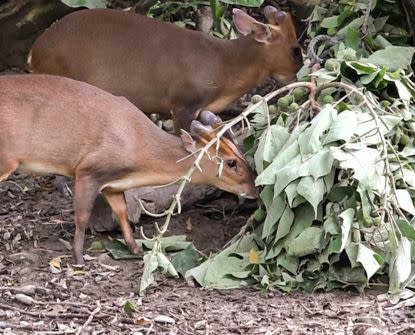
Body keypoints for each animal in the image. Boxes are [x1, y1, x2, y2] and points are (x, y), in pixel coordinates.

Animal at [0, 75, 258, 266]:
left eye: (239, 150)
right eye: (231, 162)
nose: (253, 187)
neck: (137, 146)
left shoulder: (112, 185)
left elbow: (123, 214)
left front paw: (136, 249)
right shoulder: (88, 170)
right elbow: (82, 217)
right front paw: (78, 258)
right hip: (6, 158)